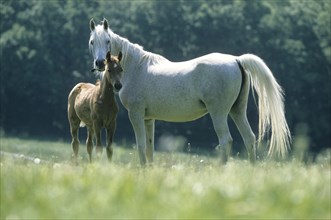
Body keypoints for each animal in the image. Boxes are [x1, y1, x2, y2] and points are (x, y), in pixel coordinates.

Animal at [89, 19, 292, 165]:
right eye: (92, 42)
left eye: (108, 41)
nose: (99, 63)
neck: (135, 67)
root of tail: (236, 60)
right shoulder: (148, 119)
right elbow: (149, 148)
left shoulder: (136, 115)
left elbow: (140, 146)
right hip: (237, 111)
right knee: (249, 138)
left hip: (219, 113)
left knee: (226, 141)